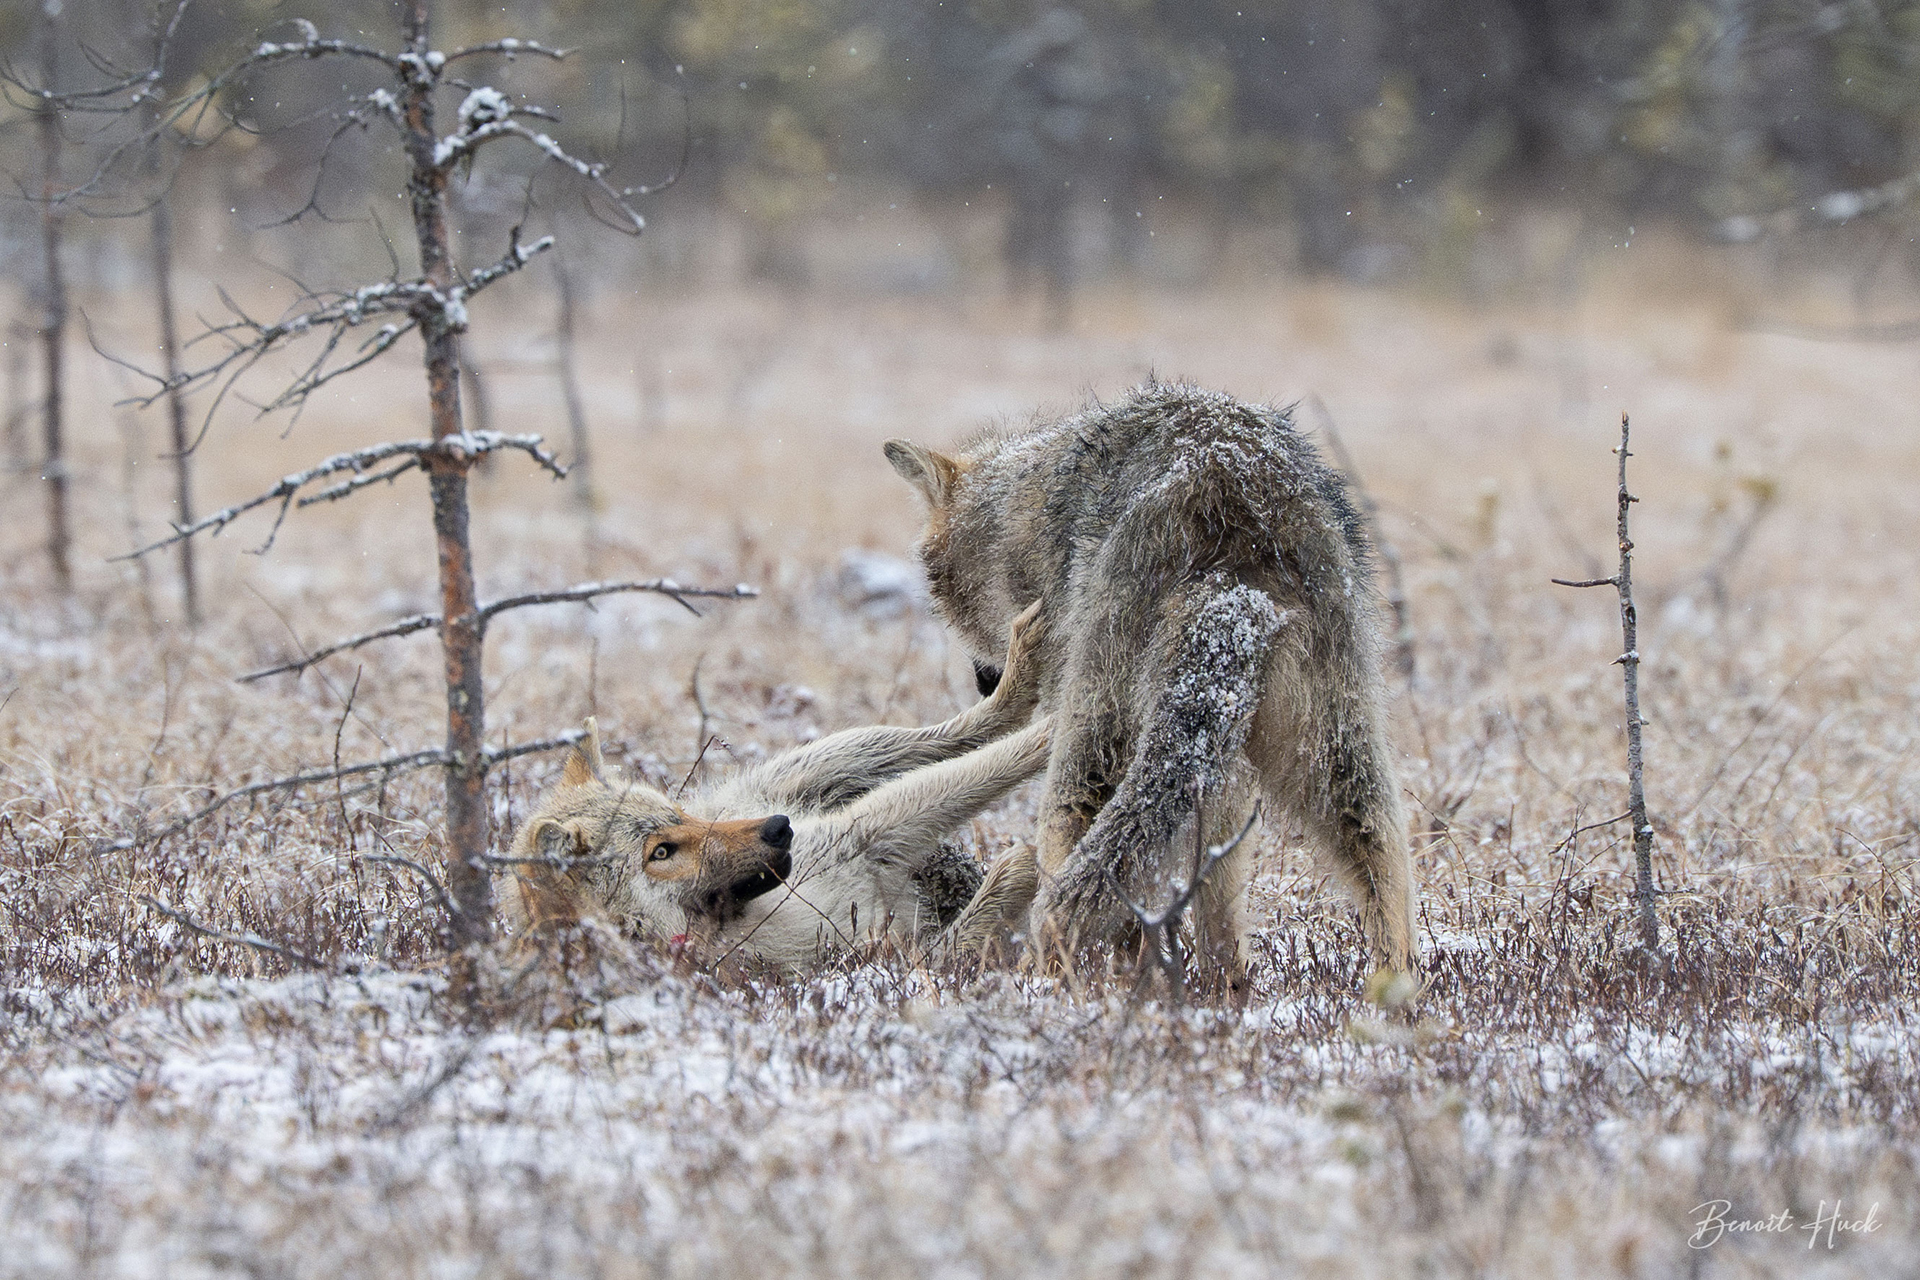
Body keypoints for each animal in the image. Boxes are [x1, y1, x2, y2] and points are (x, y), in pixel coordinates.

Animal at [501, 605, 1051, 969]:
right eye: (660, 853)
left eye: (681, 821)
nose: (778, 829)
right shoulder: (871, 868)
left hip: (832, 761)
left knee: (964, 729)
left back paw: (1022, 671)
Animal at [885, 381, 1416, 980]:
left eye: (941, 603)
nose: (983, 681)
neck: (1022, 516)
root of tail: (1235, 513)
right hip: (1334, 755)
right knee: (1376, 857)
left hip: (1093, 745)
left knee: (1075, 870)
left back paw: (1049, 980)